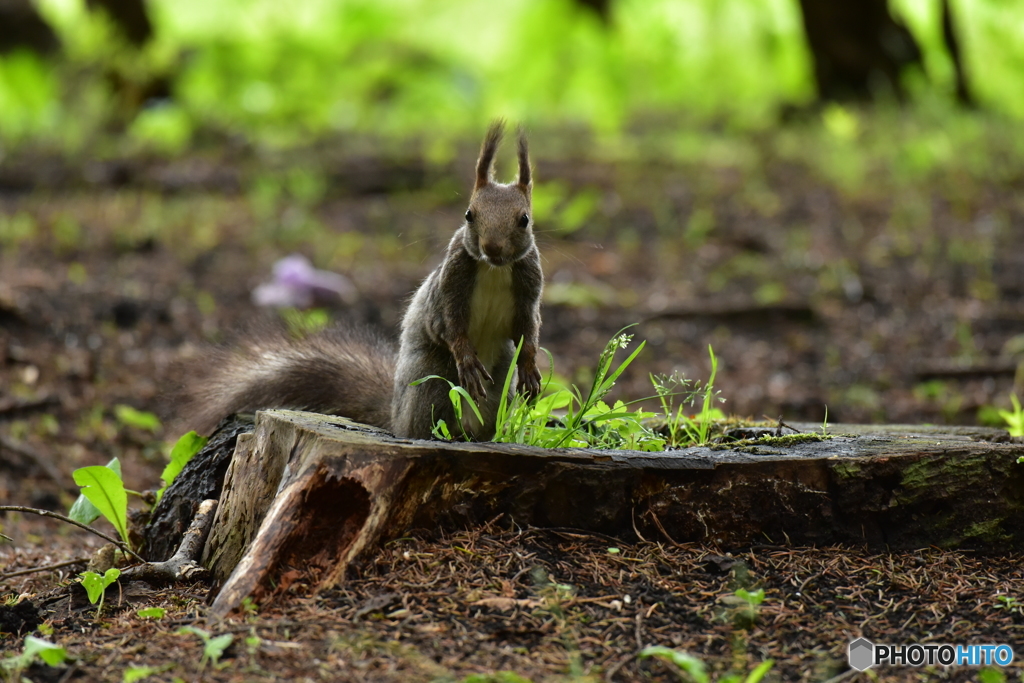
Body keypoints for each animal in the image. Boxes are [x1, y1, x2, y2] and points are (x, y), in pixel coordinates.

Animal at [189, 121, 548, 444]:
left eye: (524, 219)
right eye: (469, 215)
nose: (492, 248)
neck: (494, 269)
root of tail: (395, 420)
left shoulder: (528, 290)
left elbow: (529, 329)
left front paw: (531, 368)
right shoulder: (448, 288)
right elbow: (445, 326)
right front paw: (468, 360)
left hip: (499, 382)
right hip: (434, 382)